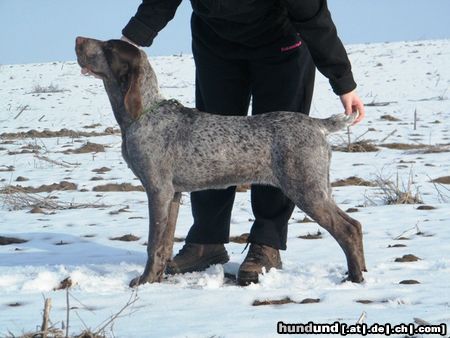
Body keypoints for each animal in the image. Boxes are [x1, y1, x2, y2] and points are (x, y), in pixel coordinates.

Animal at [75, 37, 368, 286]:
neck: (142, 114)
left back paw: (355, 278)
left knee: (347, 228)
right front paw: (158, 278)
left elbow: (152, 244)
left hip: (306, 188)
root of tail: (317, 124)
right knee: (355, 225)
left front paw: (145, 281)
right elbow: (164, 243)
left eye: (109, 48)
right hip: (317, 187)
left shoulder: (158, 190)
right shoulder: (173, 194)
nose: (77, 39)